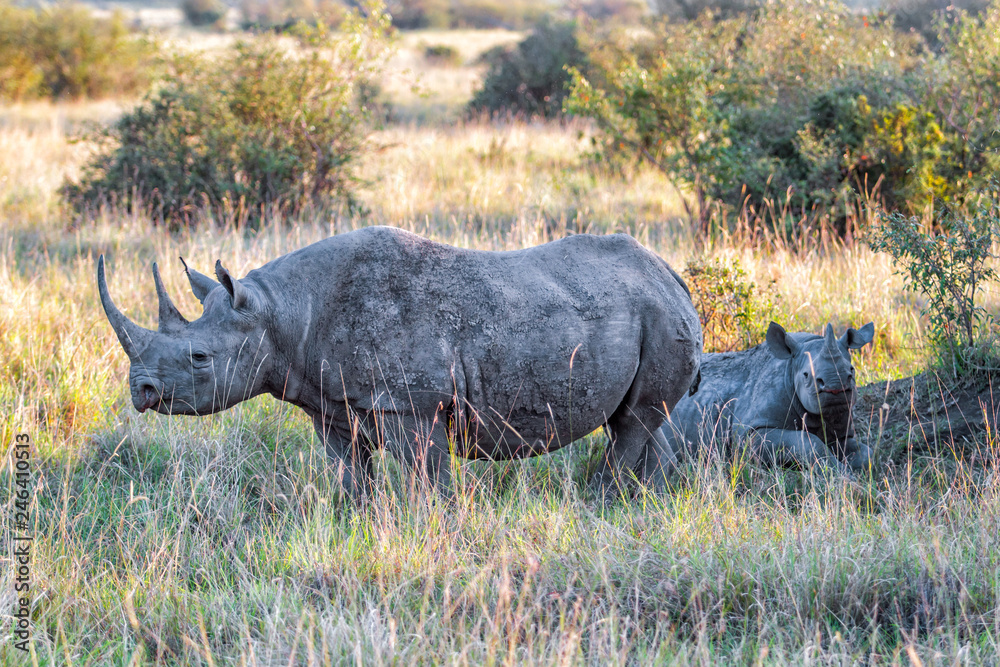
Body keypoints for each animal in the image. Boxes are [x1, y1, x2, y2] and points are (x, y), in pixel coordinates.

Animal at [97, 226, 702, 501]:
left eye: (200, 358)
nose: (141, 391)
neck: (280, 312)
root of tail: (672, 274)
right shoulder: (332, 404)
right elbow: (349, 474)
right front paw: (355, 521)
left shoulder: (414, 403)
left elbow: (423, 480)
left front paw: (430, 524)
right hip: (646, 310)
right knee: (648, 420)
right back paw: (646, 504)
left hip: (657, 313)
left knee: (633, 423)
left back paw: (601, 501)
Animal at [649, 321, 875, 476]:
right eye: (806, 375)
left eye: (852, 371)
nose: (836, 388)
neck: (790, 367)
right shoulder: (749, 433)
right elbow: (809, 442)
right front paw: (843, 476)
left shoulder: (841, 430)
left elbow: (866, 453)